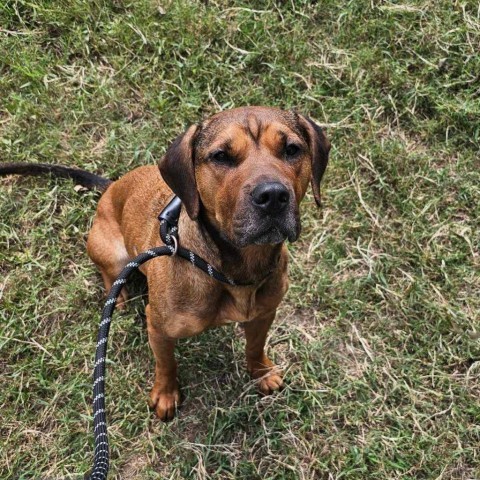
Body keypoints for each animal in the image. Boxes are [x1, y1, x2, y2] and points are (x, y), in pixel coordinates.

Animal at [0, 106, 330, 420]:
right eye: (221, 156)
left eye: (292, 149)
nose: (273, 195)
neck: (234, 270)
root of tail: (112, 186)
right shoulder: (158, 325)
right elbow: (166, 363)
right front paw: (166, 395)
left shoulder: (264, 314)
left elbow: (255, 345)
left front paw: (261, 372)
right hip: (112, 251)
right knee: (109, 274)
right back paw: (118, 295)